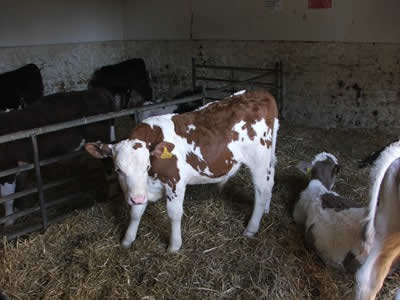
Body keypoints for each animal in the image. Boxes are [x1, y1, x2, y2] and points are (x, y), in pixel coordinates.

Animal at [85, 90, 278, 252]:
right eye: (118, 170)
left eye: (146, 166)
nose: (137, 198)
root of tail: (262, 93)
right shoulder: (140, 189)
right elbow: (135, 213)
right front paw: (127, 240)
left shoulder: (174, 182)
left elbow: (174, 214)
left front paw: (174, 246)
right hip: (269, 158)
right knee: (270, 183)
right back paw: (266, 210)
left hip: (259, 160)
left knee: (261, 190)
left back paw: (251, 228)